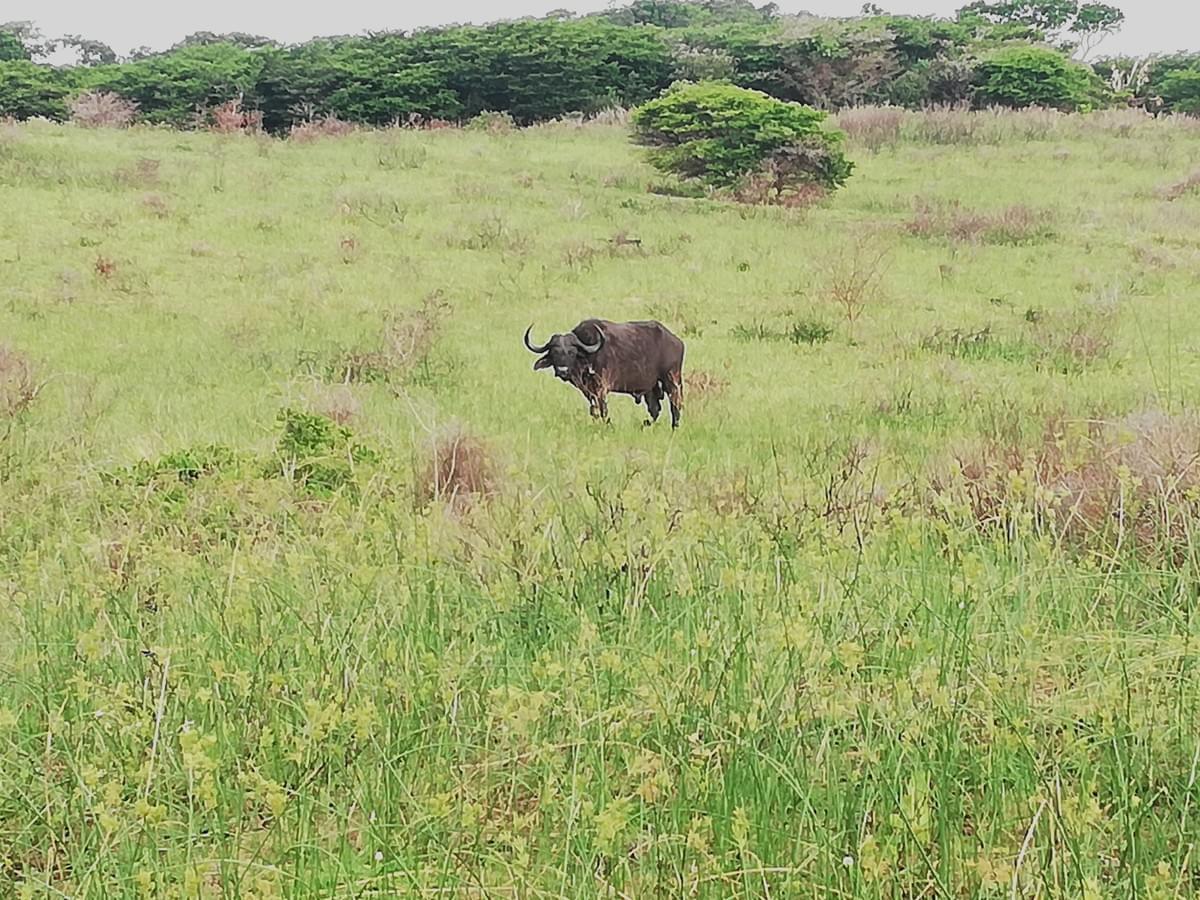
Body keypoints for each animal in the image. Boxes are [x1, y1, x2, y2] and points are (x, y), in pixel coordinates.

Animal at [523, 318, 685, 428]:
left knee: (675, 405)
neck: (588, 357)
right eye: (555, 352)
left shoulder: (601, 388)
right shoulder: (589, 392)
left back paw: (674, 427)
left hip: (671, 381)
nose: (562, 370)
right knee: (655, 409)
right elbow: (593, 410)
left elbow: (603, 409)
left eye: (571, 352)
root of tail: (677, 341)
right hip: (651, 388)